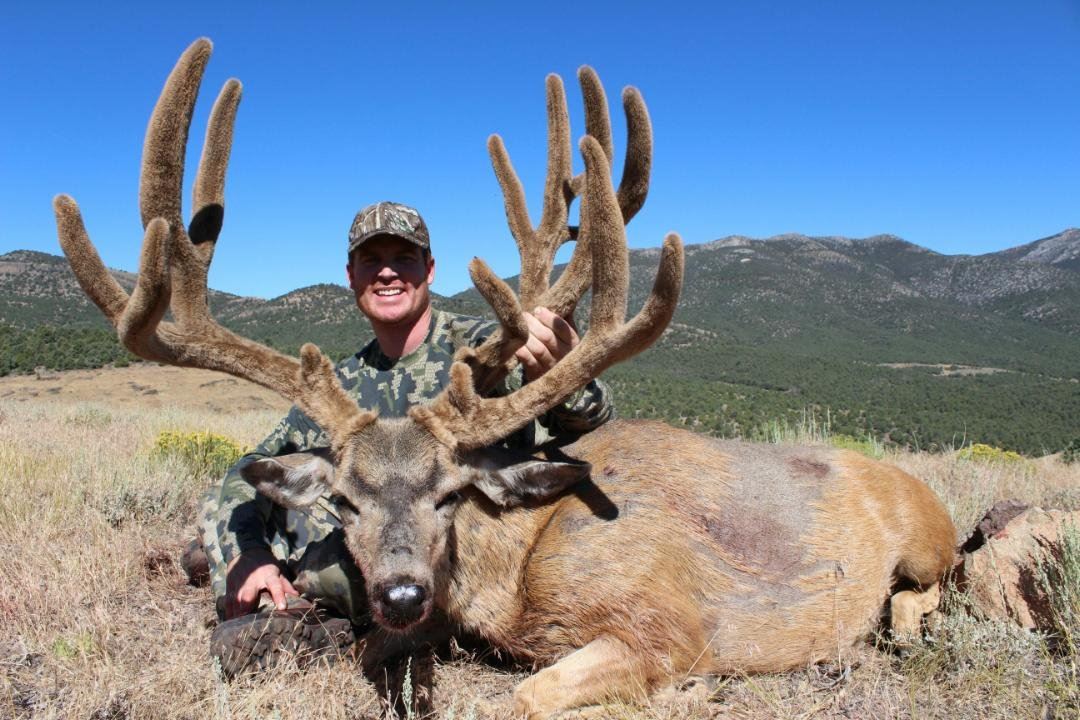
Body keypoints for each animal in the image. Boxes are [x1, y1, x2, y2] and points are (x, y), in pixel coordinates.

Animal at [54, 39, 957, 720]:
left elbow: (523, 697)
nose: (404, 593)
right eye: (342, 501)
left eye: (450, 491)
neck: (520, 566)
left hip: (926, 538)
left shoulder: (666, 619)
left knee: (932, 584)